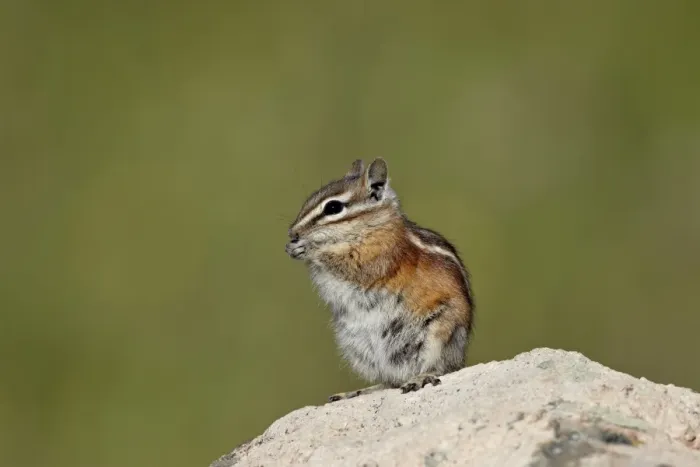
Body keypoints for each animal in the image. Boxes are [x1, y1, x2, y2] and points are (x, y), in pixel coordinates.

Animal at [285, 158, 475, 402]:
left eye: (333, 208)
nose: (293, 232)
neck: (371, 227)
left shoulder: (378, 257)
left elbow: (346, 262)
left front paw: (307, 249)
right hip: (358, 346)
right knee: (388, 382)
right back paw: (355, 392)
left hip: (439, 333)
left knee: (439, 368)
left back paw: (420, 378)